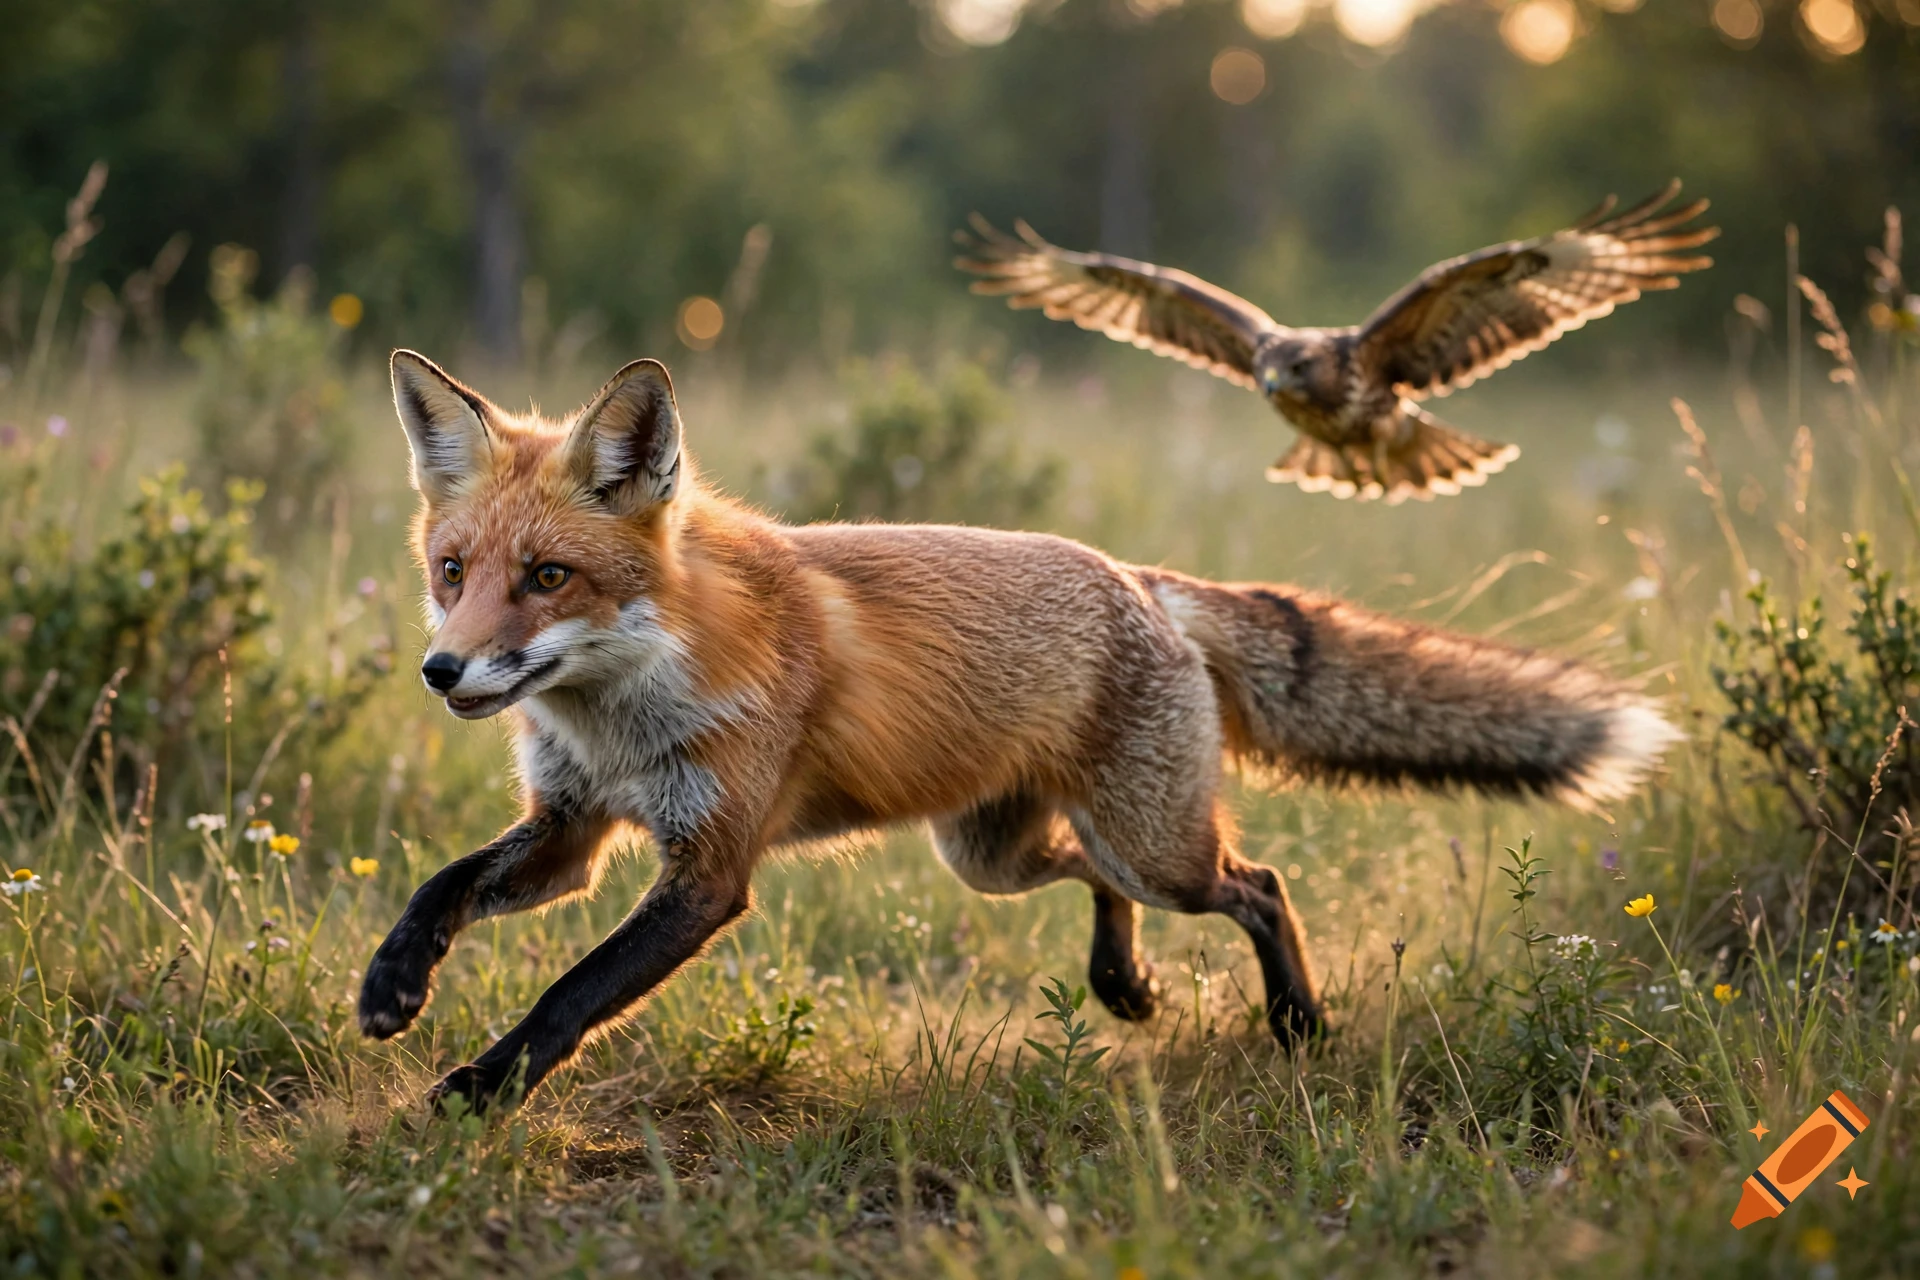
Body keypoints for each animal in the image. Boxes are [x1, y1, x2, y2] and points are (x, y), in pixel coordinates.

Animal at [360, 350, 1679, 1114]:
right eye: (452, 570)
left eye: (548, 576)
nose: (442, 669)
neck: (622, 717)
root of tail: (1143, 579)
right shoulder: (571, 828)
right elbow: (443, 882)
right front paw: (391, 984)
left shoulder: (708, 868)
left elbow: (571, 993)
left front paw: (483, 1085)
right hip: (992, 855)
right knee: (1095, 876)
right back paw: (1125, 982)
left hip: (1154, 844)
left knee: (1256, 879)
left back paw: (1296, 1020)